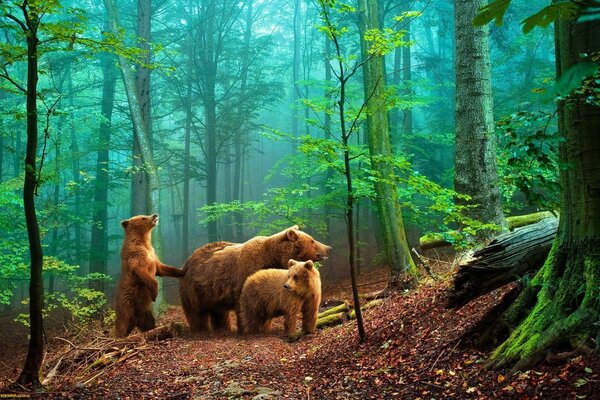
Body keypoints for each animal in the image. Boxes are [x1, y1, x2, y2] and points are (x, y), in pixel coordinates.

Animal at [180, 227, 330, 332]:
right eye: (312, 240)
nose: (329, 248)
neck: (273, 258)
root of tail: (185, 263)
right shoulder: (246, 275)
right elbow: (246, 307)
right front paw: (249, 328)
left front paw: (265, 327)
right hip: (195, 290)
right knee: (196, 313)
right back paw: (200, 329)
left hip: (212, 294)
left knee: (219, 313)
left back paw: (223, 328)